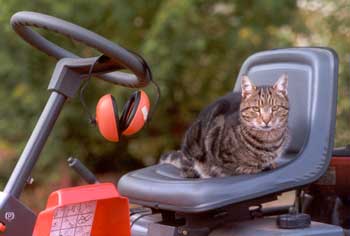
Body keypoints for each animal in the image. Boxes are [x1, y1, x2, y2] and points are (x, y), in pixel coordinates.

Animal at [159, 74, 290, 178]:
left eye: (275, 108)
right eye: (256, 109)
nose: (266, 120)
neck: (269, 140)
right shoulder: (216, 147)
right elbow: (232, 166)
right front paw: (250, 167)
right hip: (193, 142)